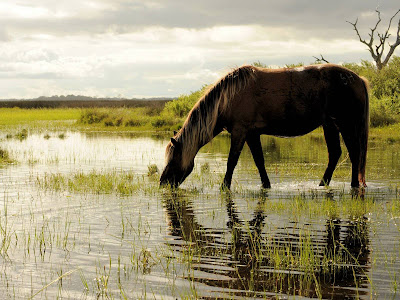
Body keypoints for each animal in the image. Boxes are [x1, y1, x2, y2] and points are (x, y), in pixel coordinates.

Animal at [159, 64, 368, 189]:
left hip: (345, 124)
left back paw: (353, 185)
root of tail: (357, 78)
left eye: (173, 158)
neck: (228, 97)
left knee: (354, 152)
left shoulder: (240, 131)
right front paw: (266, 185)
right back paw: (322, 184)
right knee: (335, 154)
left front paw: (224, 187)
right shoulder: (252, 134)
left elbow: (231, 161)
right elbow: (259, 161)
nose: (163, 182)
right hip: (329, 125)